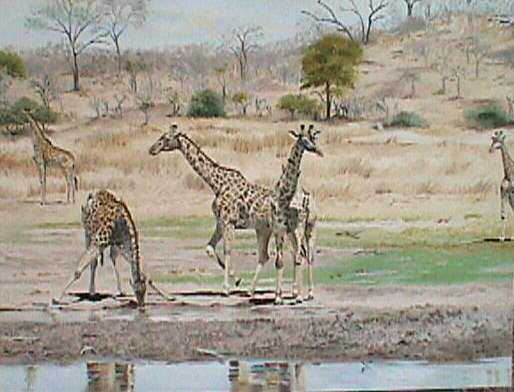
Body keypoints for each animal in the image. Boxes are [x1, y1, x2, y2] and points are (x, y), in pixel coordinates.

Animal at [248, 125, 320, 300]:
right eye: (301, 138)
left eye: (312, 137)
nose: (314, 148)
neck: (283, 197)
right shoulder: (279, 230)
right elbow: (279, 261)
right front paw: (278, 297)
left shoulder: (297, 227)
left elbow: (297, 257)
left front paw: (294, 296)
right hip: (282, 232)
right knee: (294, 254)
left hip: (309, 228)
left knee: (306, 255)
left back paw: (306, 293)